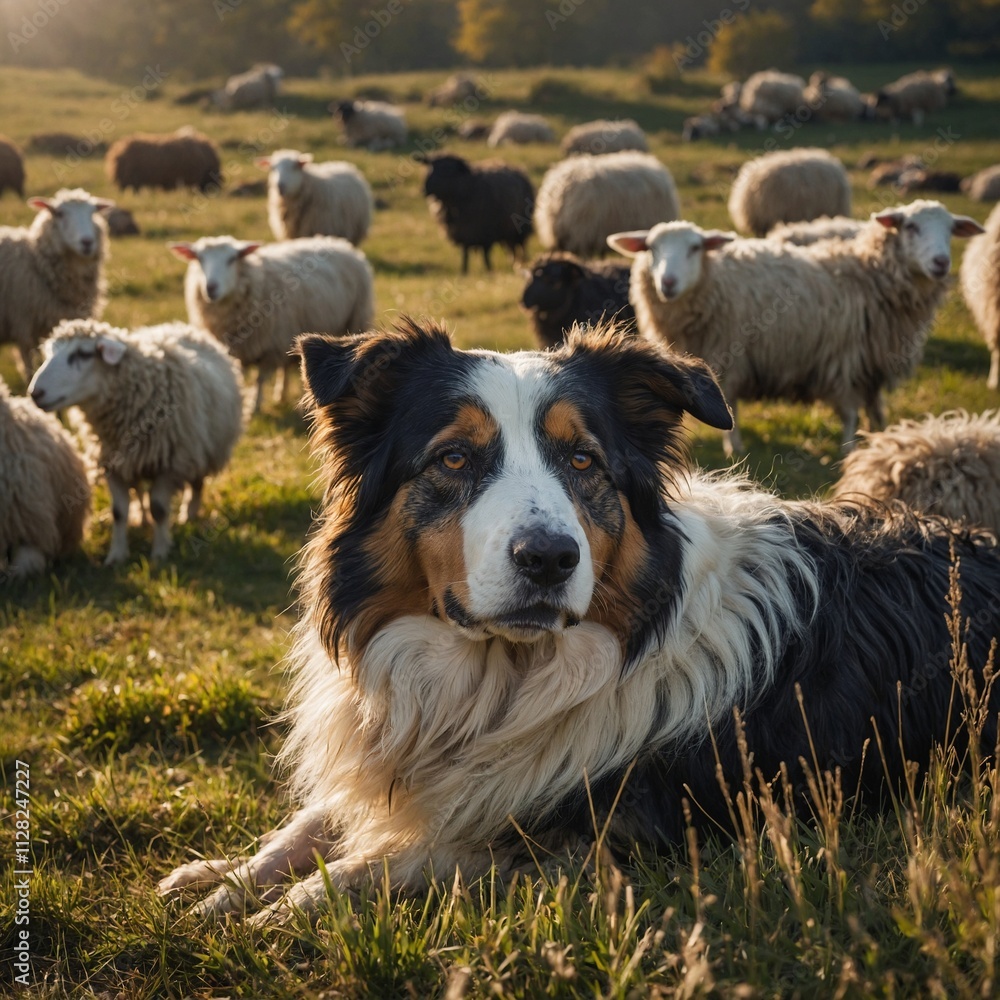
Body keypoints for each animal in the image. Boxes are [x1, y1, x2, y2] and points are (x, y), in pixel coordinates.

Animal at [28, 319, 242, 565]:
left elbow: (159, 509)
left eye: (83, 353)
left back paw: (189, 514)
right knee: (139, 490)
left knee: (197, 482)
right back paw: (142, 519)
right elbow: (118, 512)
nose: (35, 393)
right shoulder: (112, 465)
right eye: (50, 352)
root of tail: (180, 327)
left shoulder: (170, 465)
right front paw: (117, 555)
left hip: (201, 449)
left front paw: (160, 552)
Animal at [169, 235, 375, 413]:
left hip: (353, 318)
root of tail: (337, 241)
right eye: (199, 259)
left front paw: (254, 406)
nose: (211, 288)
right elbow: (241, 375)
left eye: (232, 259)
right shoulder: (240, 348)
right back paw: (280, 395)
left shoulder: (269, 346)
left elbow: (259, 379)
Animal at [608, 201, 985, 456]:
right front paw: (735, 447)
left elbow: (866, 406)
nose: (941, 263)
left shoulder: (861, 358)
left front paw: (874, 438)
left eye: (695, 247)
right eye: (911, 227)